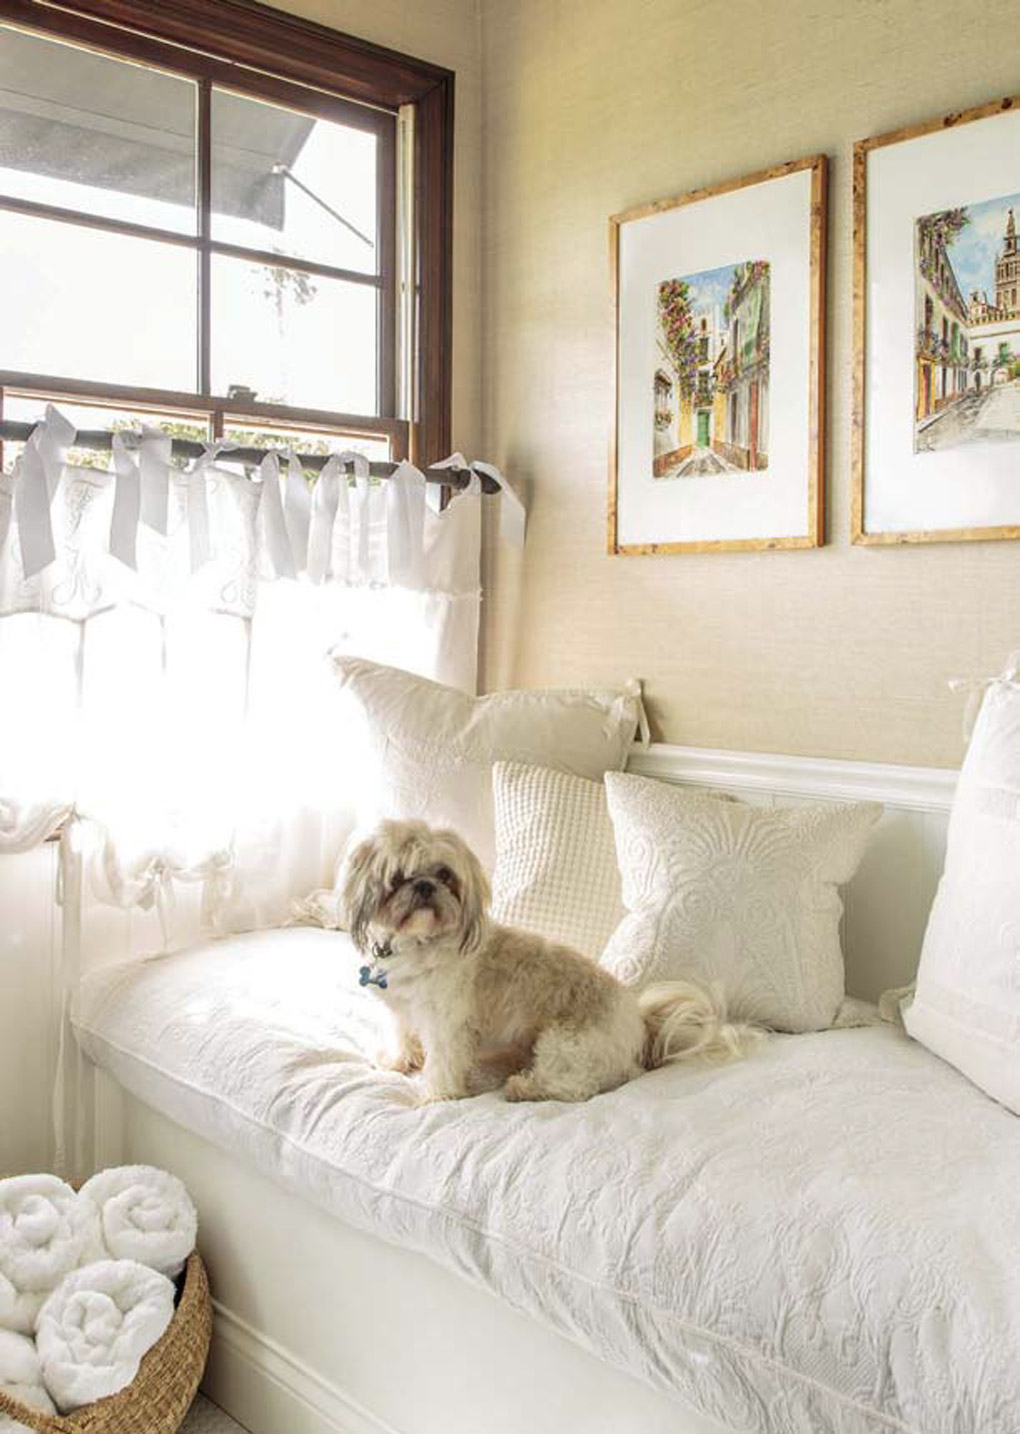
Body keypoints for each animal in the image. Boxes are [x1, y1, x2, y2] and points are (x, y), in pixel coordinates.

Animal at [342, 820, 757, 1107]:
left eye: (445, 874)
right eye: (398, 877)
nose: (425, 886)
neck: (417, 942)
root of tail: (638, 1024)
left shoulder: (448, 1023)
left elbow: (444, 1061)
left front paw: (436, 1095)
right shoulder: (400, 1007)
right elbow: (399, 1031)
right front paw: (398, 1060)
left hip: (564, 1043)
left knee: (577, 1088)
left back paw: (524, 1086)